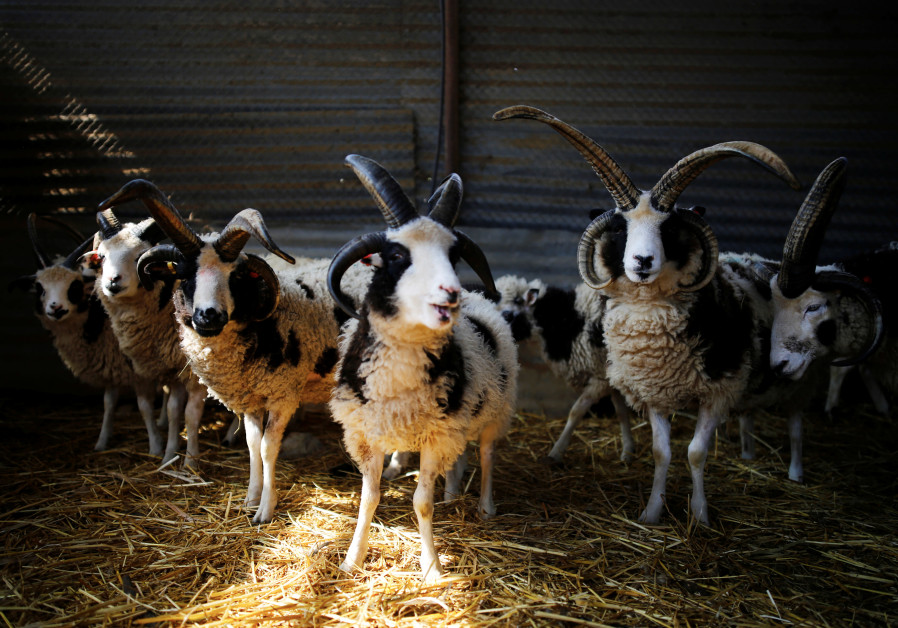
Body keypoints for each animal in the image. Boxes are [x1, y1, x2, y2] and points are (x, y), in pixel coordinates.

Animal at [12, 214, 164, 455]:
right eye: (40, 288)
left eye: (74, 286)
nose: (55, 308)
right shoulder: (111, 365)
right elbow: (108, 403)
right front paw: (102, 441)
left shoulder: (138, 370)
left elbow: (144, 407)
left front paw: (156, 446)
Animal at [86, 203, 208, 468]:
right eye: (102, 256)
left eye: (138, 257)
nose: (112, 282)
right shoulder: (161, 367)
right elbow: (161, 409)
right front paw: (165, 453)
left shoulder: (193, 372)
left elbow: (191, 415)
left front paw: (191, 463)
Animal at [101, 179, 373, 524]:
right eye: (184, 276)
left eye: (235, 277)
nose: (208, 316)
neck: (267, 321)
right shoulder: (251, 397)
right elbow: (252, 445)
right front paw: (250, 499)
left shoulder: (284, 394)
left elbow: (269, 448)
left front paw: (265, 511)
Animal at [327, 155, 518, 582]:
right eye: (398, 256)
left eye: (454, 255)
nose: (451, 293)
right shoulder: (367, 435)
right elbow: (369, 498)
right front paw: (351, 560)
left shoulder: (435, 436)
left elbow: (421, 503)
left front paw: (431, 568)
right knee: (460, 458)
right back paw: (451, 493)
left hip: (495, 411)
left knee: (486, 454)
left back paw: (485, 507)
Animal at [494, 274, 635, 464]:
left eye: (507, 315)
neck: (568, 319)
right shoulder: (609, 374)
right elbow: (621, 412)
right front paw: (627, 451)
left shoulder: (600, 377)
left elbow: (576, 411)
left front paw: (556, 453)